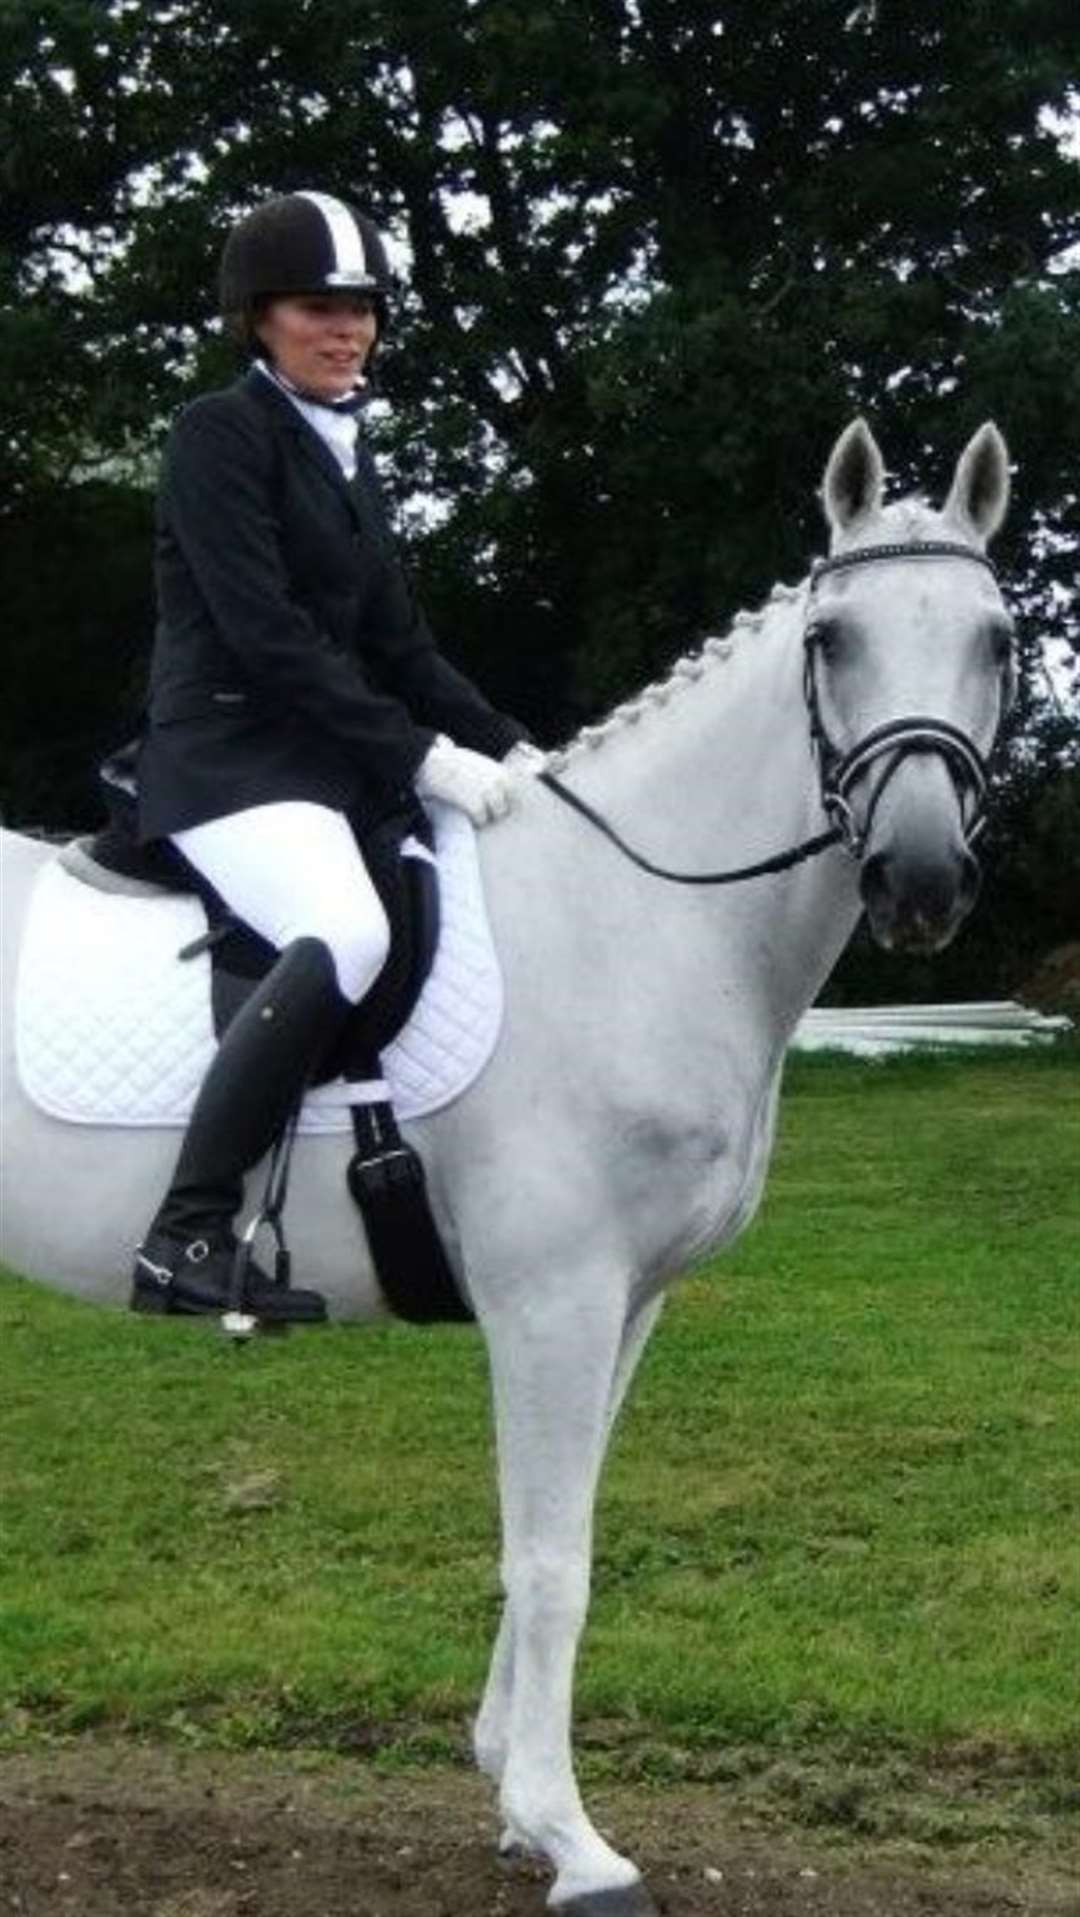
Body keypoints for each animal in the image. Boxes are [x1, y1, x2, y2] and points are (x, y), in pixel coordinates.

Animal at [0, 423, 1012, 1917]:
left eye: (998, 641)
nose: (921, 879)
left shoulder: (627, 1303)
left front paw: (513, 1792)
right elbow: (552, 1560)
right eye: (831, 638)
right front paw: (573, 1838)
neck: (637, 916)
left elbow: (561, 1527)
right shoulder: (554, 1298)